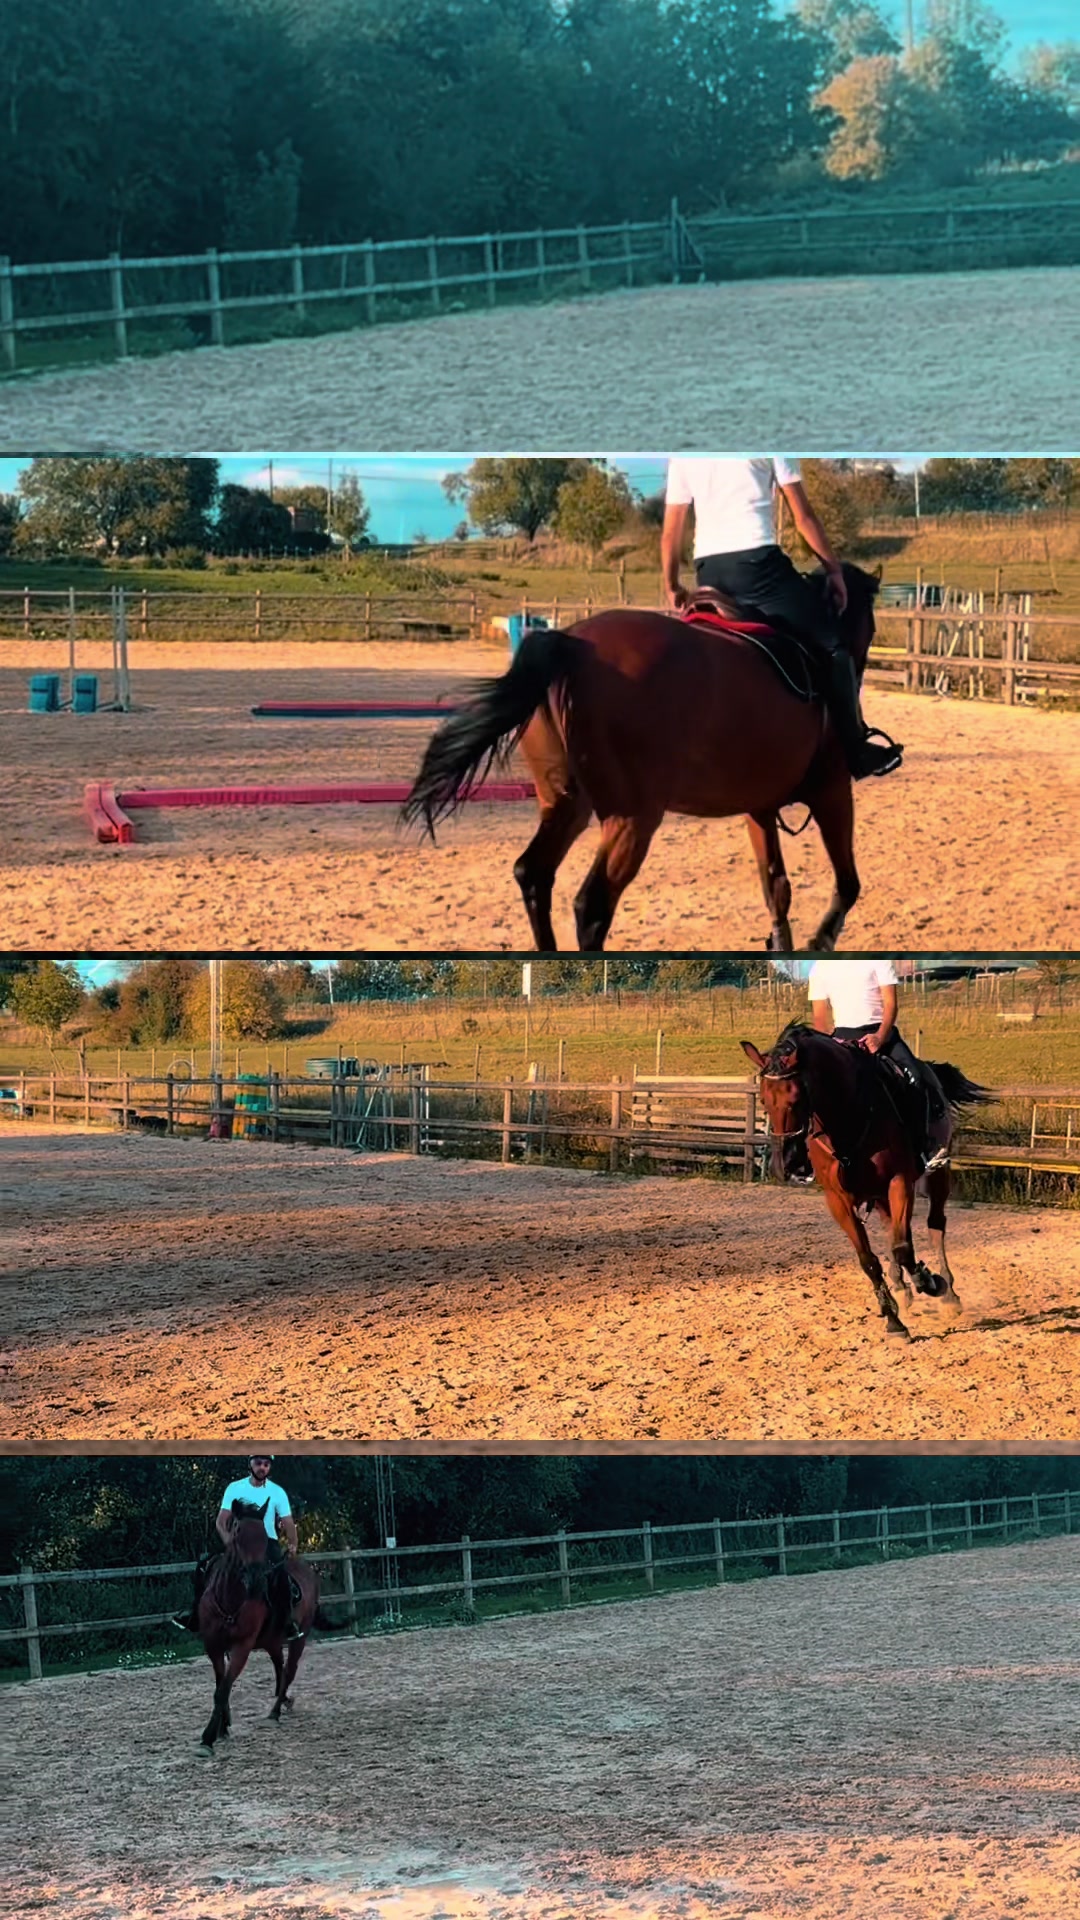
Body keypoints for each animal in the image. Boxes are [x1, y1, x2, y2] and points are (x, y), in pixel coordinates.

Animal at [194, 1500, 324, 1754]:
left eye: (263, 1535)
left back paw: (275, 1712)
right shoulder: (213, 1645)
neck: (231, 1600)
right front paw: (222, 1728)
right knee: (280, 1669)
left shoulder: (242, 1647)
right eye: (238, 1532)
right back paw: (284, 1701)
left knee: (289, 1670)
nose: (255, 1578)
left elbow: (223, 1689)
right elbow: (220, 1687)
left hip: (299, 1637)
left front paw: (208, 1738)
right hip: (272, 1641)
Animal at [402, 563, 882, 952]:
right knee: (592, 907)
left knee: (534, 874)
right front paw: (820, 941)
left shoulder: (759, 808)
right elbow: (849, 884)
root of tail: (571, 643)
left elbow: (776, 889)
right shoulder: (833, 792)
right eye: (871, 626)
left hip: (567, 804)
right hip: (633, 818)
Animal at [740, 1022, 992, 1339]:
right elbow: (870, 1259)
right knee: (893, 1230)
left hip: (936, 1174)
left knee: (935, 1226)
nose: (785, 1165)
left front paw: (929, 1282)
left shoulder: (899, 1181)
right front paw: (893, 1318)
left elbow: (902, 1248)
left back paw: (946, 1293)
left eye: (796, 1098)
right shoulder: (838, 1200)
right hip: (880, 1194)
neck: (847, 1118)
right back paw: (903, 1288)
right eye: (763, 1099)